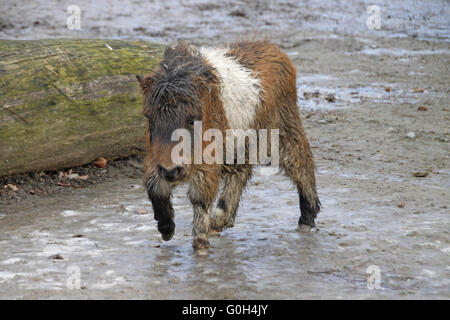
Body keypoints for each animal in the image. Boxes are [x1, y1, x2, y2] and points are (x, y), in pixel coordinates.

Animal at [136, 40, 320, 251]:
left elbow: (200, 197)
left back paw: (307, 218)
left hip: (283, 131)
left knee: (300, 163)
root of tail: (276, 52)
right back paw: (220, 219)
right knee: (241, 173)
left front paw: (200, 242)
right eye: (150, 119)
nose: (171, 171)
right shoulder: (156, 158)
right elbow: (156, 188)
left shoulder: (206, 162)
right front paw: (166, 228)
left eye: (191, 120)